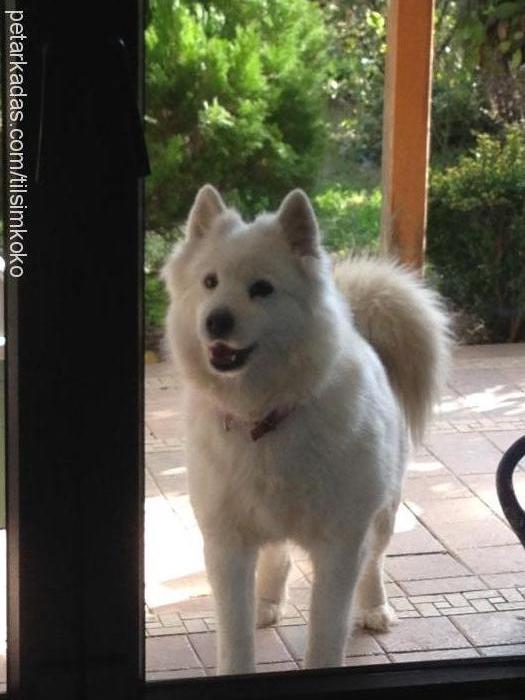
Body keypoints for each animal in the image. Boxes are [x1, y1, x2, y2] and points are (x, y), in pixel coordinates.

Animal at [162, 185, 448, 672]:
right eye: (209, 282)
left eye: (262, 289)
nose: (215, 320)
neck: (265, 416)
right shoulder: (227, 544)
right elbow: (235, 635)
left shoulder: (340, 545)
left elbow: (325, 630)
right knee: (277, 558)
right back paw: (266, 604)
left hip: (384, 513)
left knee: (375, 562)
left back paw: (375, 608)